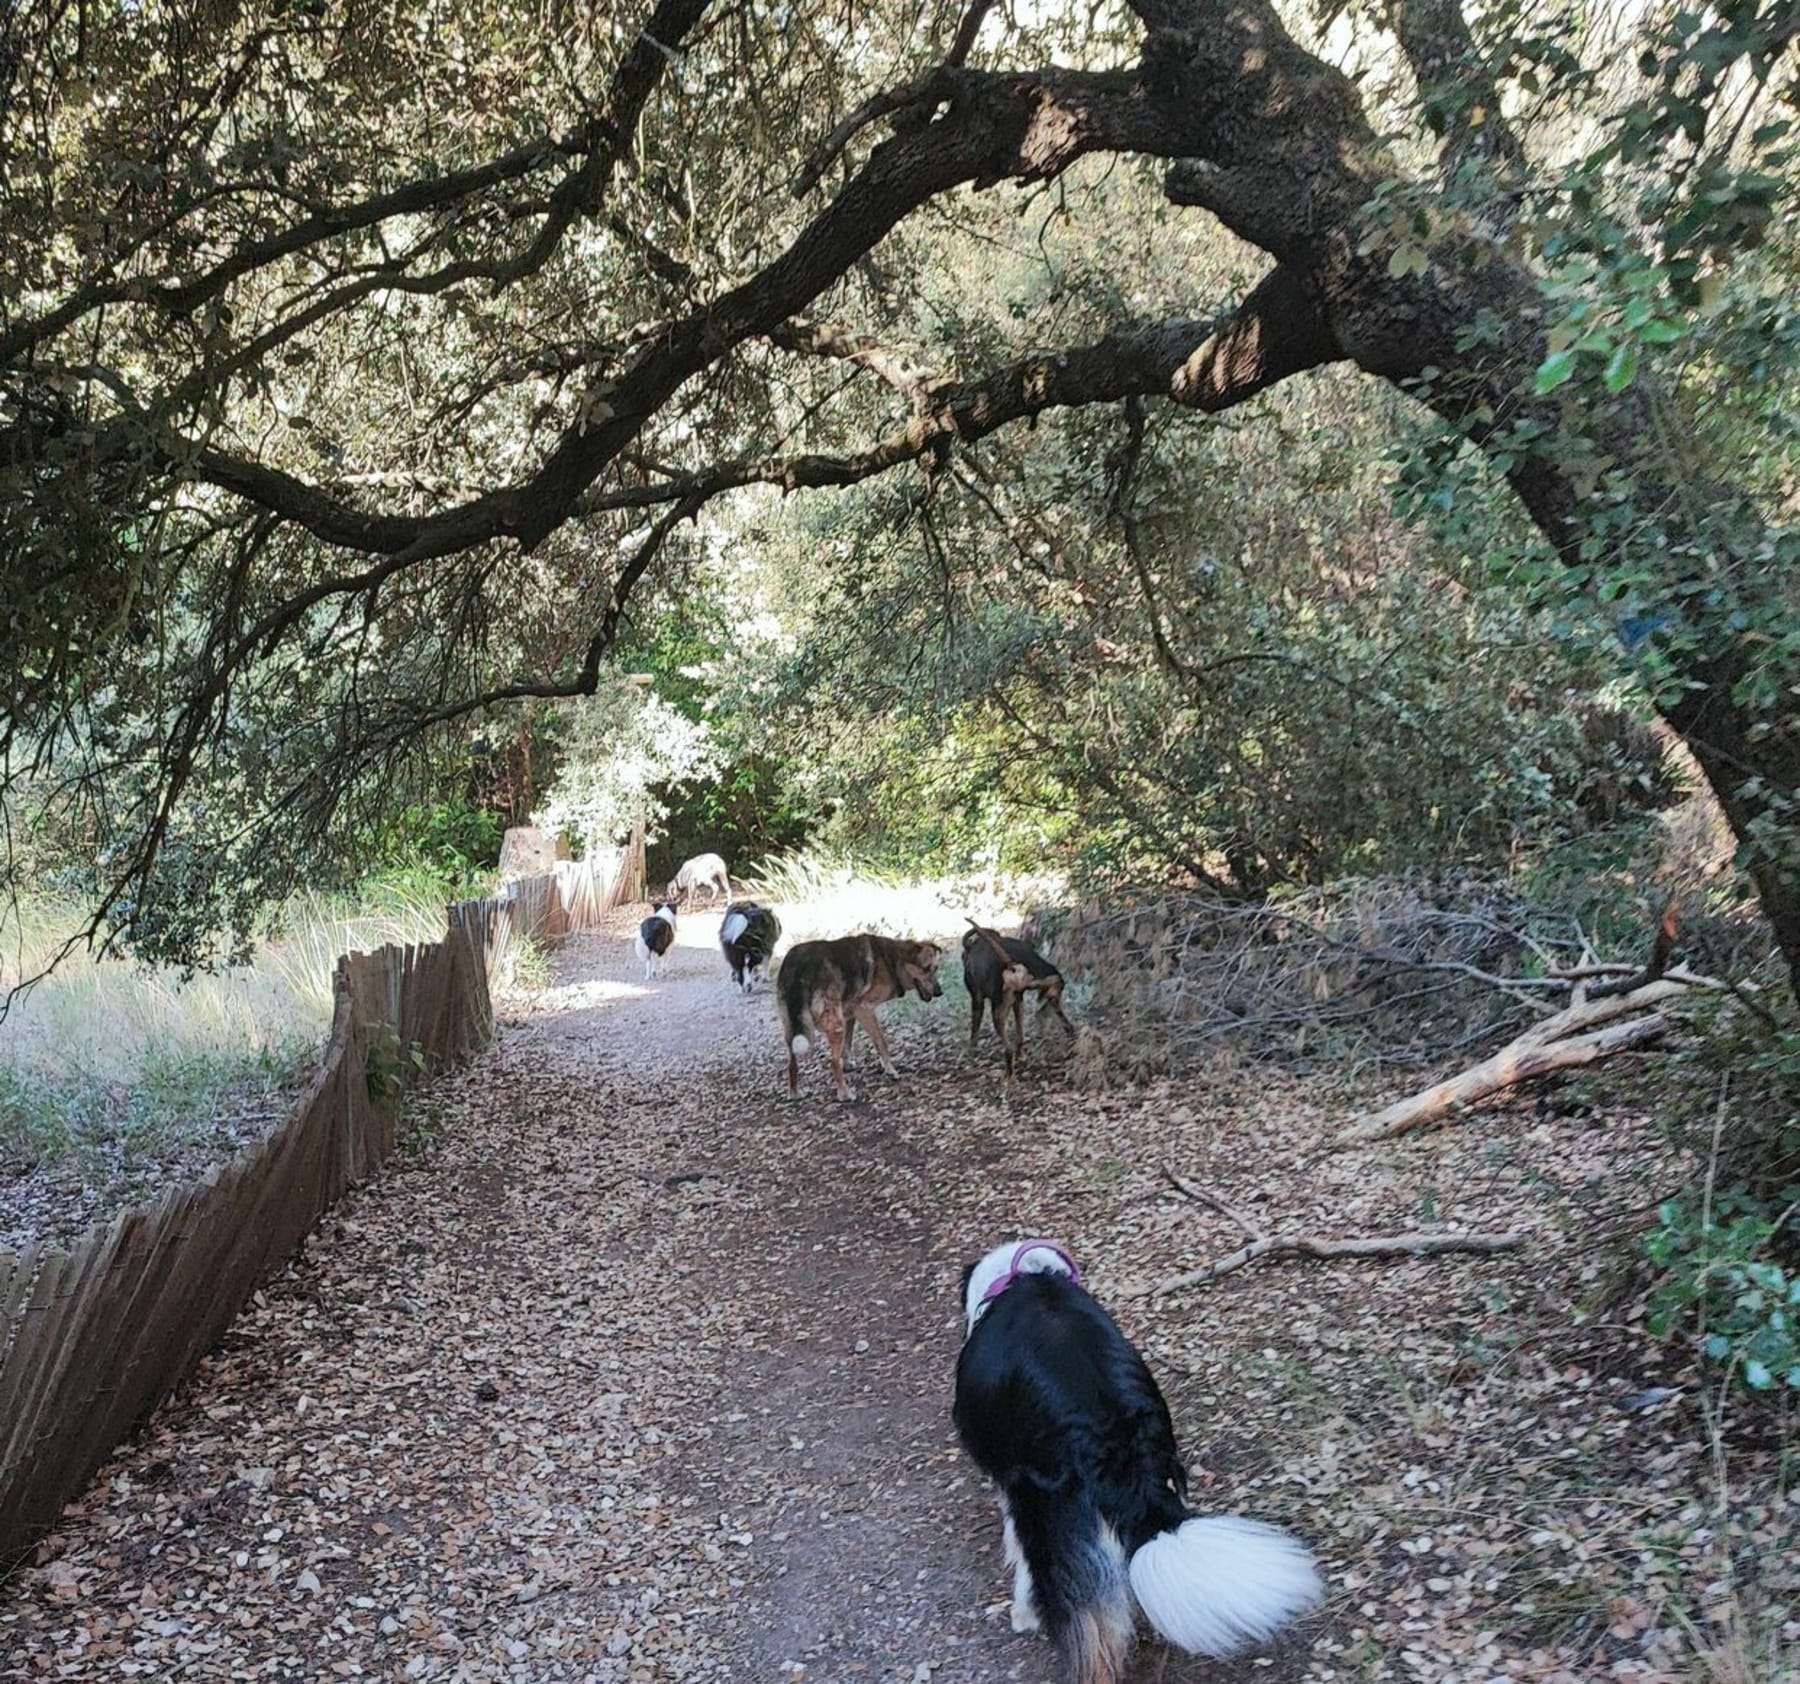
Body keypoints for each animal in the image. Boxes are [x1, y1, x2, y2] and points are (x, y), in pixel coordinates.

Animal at [774, 928, 943, 1101]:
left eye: (936, 968)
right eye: (926, 968)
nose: (940, 992)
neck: (891, 960)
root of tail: (799, 964)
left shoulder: (850, 1014)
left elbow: (848, 1045)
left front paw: (848, 1065)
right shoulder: (865, 1009)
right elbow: (881, 1042)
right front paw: (890, 1070)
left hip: (792, 1027)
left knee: (792, 1061)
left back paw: (794, 1092)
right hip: (834, 1025)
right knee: (833, 1061)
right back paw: (845, 1093)